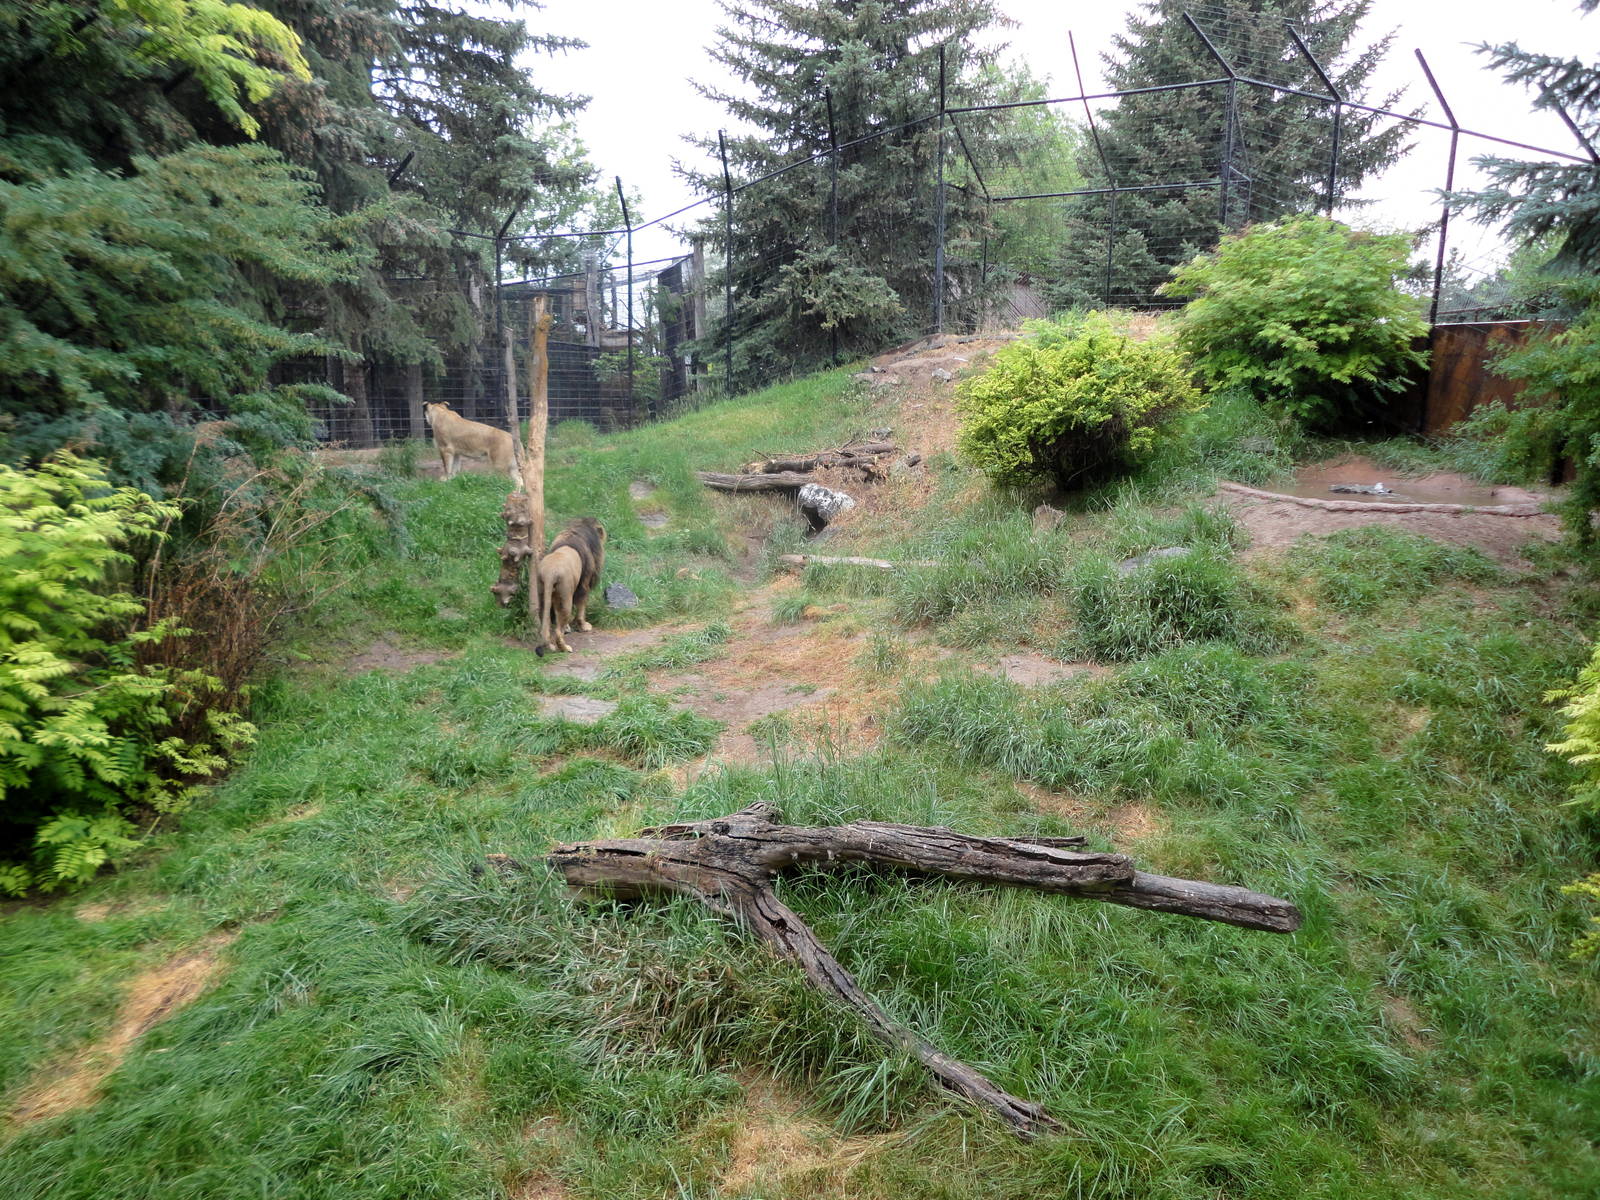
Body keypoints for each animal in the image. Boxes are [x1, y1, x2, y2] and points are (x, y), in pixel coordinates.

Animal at [537, 517, 606, 654]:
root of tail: (550, 573)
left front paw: (569, 627)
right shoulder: (584, 584)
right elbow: (581, 606)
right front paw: (584, 626)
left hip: (542, 594)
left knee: (546, 624)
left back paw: (550, 646)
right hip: (565, 596)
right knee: (558, 632)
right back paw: (565, 648)